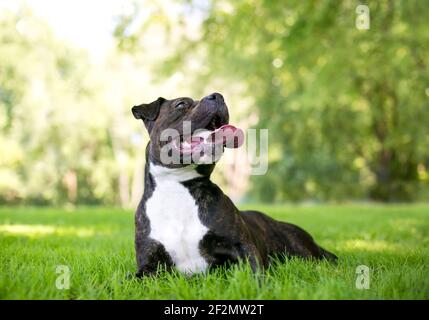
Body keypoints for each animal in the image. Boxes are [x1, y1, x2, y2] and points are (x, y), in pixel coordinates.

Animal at [130, 91, 334, 276]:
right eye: (181, 104)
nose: (217, 95)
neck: (178, 187)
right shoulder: (148, 265)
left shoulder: (242, 246)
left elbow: (256, 273)